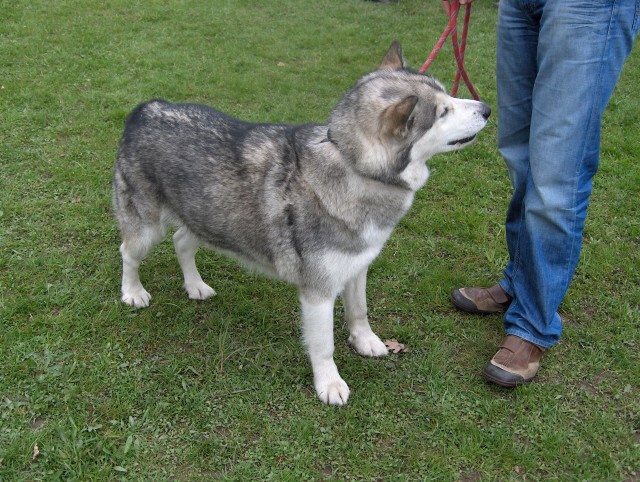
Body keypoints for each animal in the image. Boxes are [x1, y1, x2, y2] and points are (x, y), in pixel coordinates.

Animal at [112, 41, 490, 404]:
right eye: (442, 112)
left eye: (449, 94)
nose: (487, 108)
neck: (352, 166)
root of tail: (146, 109)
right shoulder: (318, 292)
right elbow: (324, 346)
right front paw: (329, 383)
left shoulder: (357, 267)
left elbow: (359, 311)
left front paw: (365, 341)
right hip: (147, 229)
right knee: (128, 253)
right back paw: (133, 292)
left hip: (207, 220)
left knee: (181, 242)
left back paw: (195, 285)